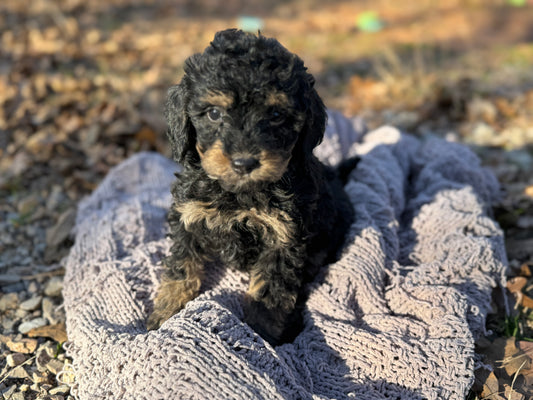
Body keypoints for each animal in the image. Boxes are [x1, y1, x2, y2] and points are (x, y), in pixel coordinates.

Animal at [147, 29, 354, 346]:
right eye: (214, 113)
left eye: (276, 115)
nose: (244, 162)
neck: (238, 193)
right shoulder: (188, 216)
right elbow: (181, 266)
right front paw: (166, 312)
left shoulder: (283, 239)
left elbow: (269, 294)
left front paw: (263, 338)